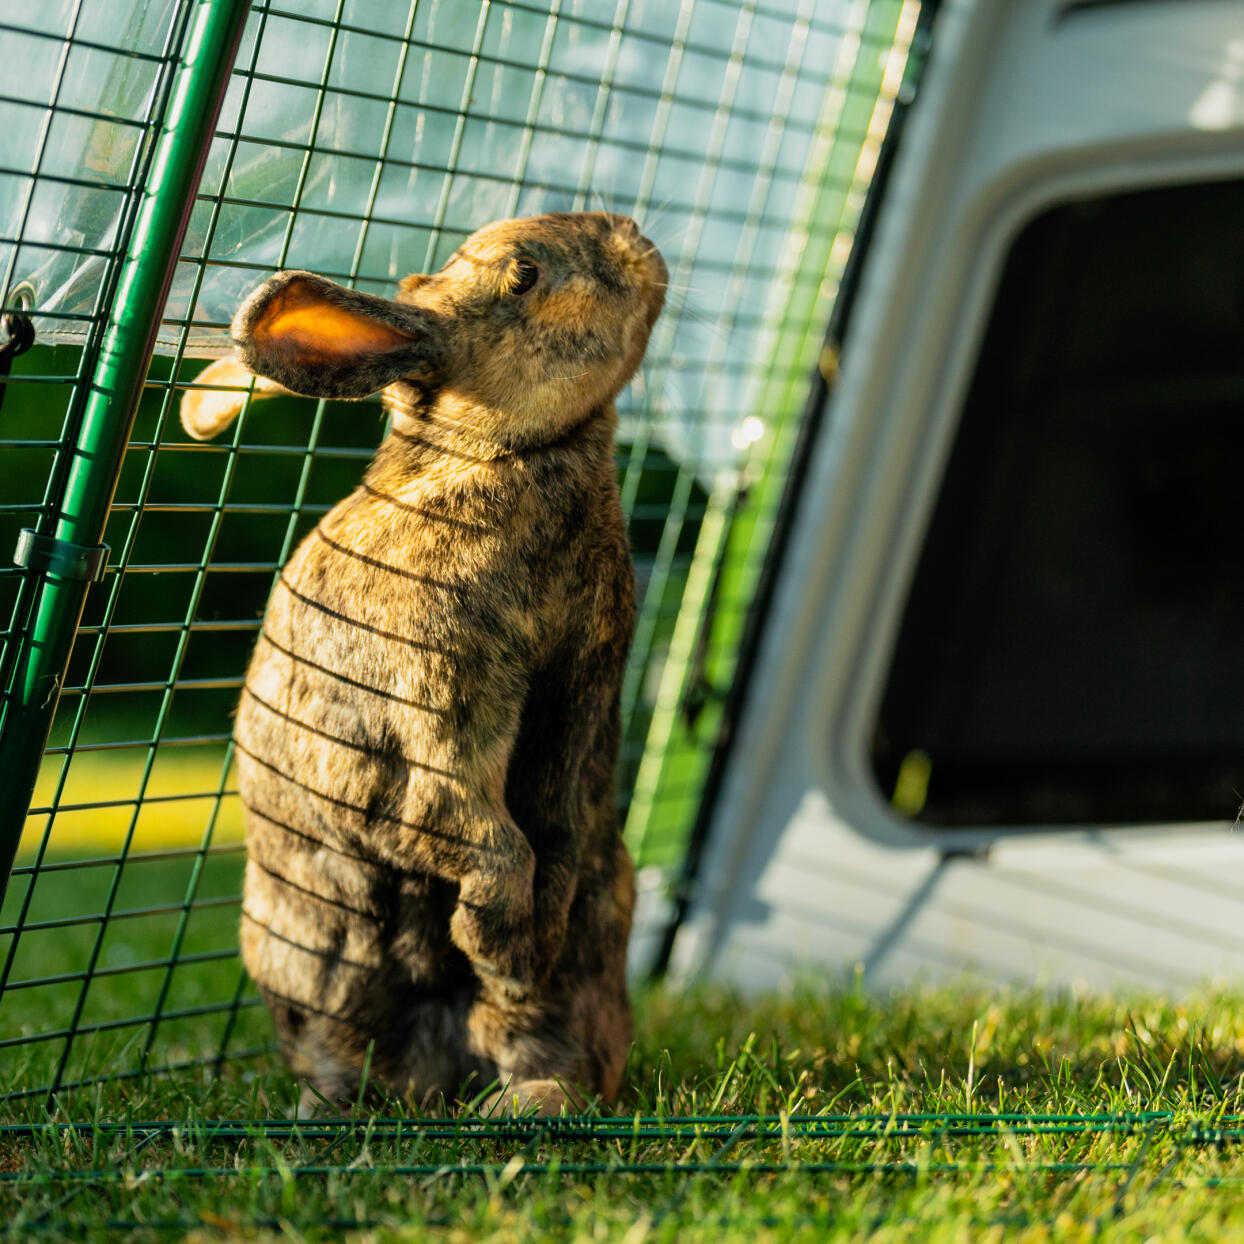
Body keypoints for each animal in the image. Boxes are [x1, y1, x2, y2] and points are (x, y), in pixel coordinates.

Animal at [179, 212, 666, 1116]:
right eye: (523, 273)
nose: (633, 236)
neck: (500, 453)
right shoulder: (429, 727)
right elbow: (480, 836)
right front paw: (500, 946)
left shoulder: (573, 709)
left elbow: (545, 835)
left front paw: (513, 955)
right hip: (319, 974)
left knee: (542, 1049)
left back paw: (524, 1096)